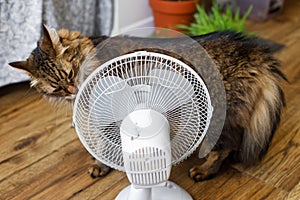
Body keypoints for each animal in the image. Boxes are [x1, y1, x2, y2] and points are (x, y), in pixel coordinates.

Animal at [8, 24, 286, 181]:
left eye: (70, 73)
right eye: (56, 87)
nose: (72, 89)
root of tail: (253, 50)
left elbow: (106, 147)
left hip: (218, 117)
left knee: (225, 147)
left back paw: (204, 170)